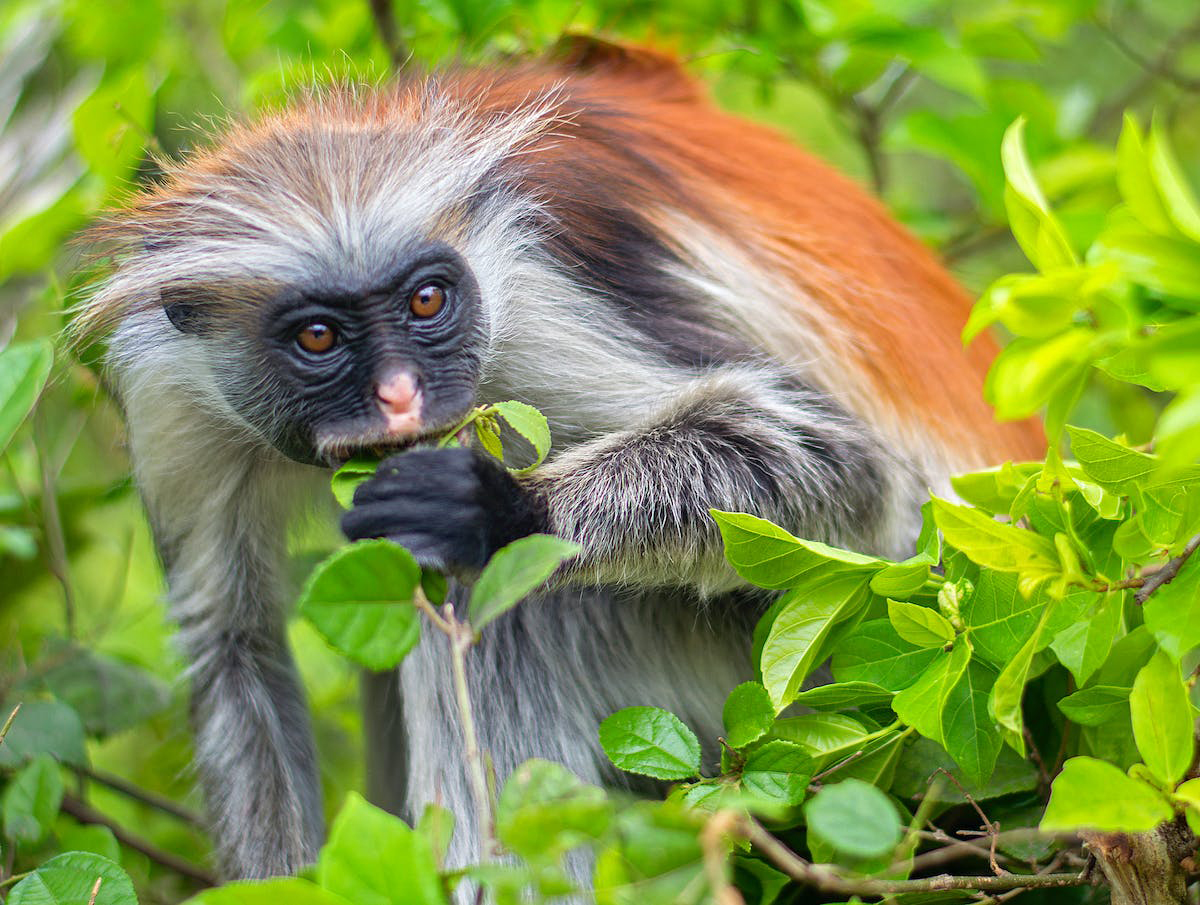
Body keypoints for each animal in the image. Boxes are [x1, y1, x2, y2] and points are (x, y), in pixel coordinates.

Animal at [79, 40, 1046, 873]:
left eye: (427, 301)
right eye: (318, 336)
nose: (400, 397)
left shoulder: (535, 293)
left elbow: (845, 460)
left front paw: (500, 509)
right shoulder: (172, 390)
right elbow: (233, 645)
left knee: (509, 609)